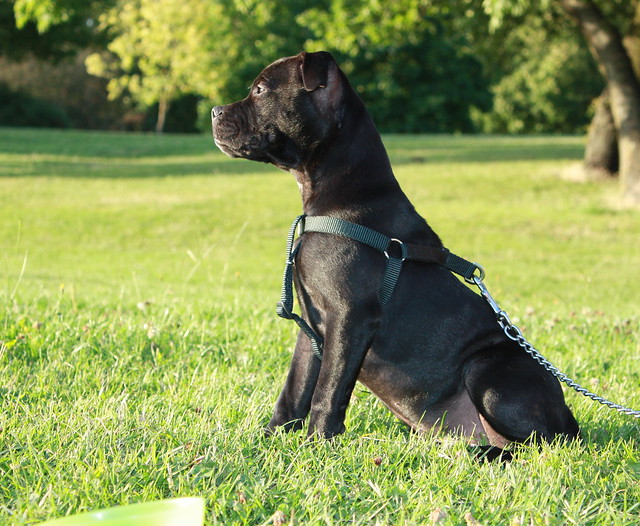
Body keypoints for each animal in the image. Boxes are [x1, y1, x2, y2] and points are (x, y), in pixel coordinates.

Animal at [211, 50, 580, 454]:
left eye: (260, 91)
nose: (214, 111)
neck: (332, 196)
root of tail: (570, 421)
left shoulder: (350, 317)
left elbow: (328, 390)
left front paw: (317, 445)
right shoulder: (311, 325)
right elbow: (295, 389)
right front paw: (269, 441)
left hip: (488, 371)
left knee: (537, 445)